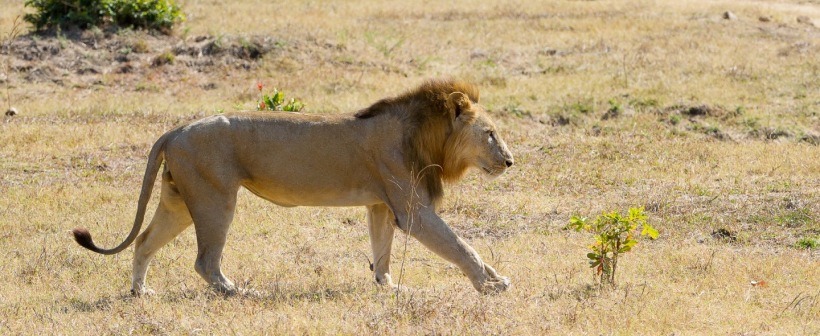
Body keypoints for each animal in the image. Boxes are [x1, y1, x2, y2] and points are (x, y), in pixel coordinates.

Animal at [73, 78, 516, 294]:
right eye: (490, 133)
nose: (510, 161)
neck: (425, 135)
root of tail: (176, 129)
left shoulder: (380, 206)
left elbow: (382, 253)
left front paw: (389, 288)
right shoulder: (413, 211)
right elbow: (462, 246)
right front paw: (491, 285)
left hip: (178, 201)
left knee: (144, 241)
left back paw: (140, 293)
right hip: (216, 199)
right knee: (204, 260)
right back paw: (237, 292)